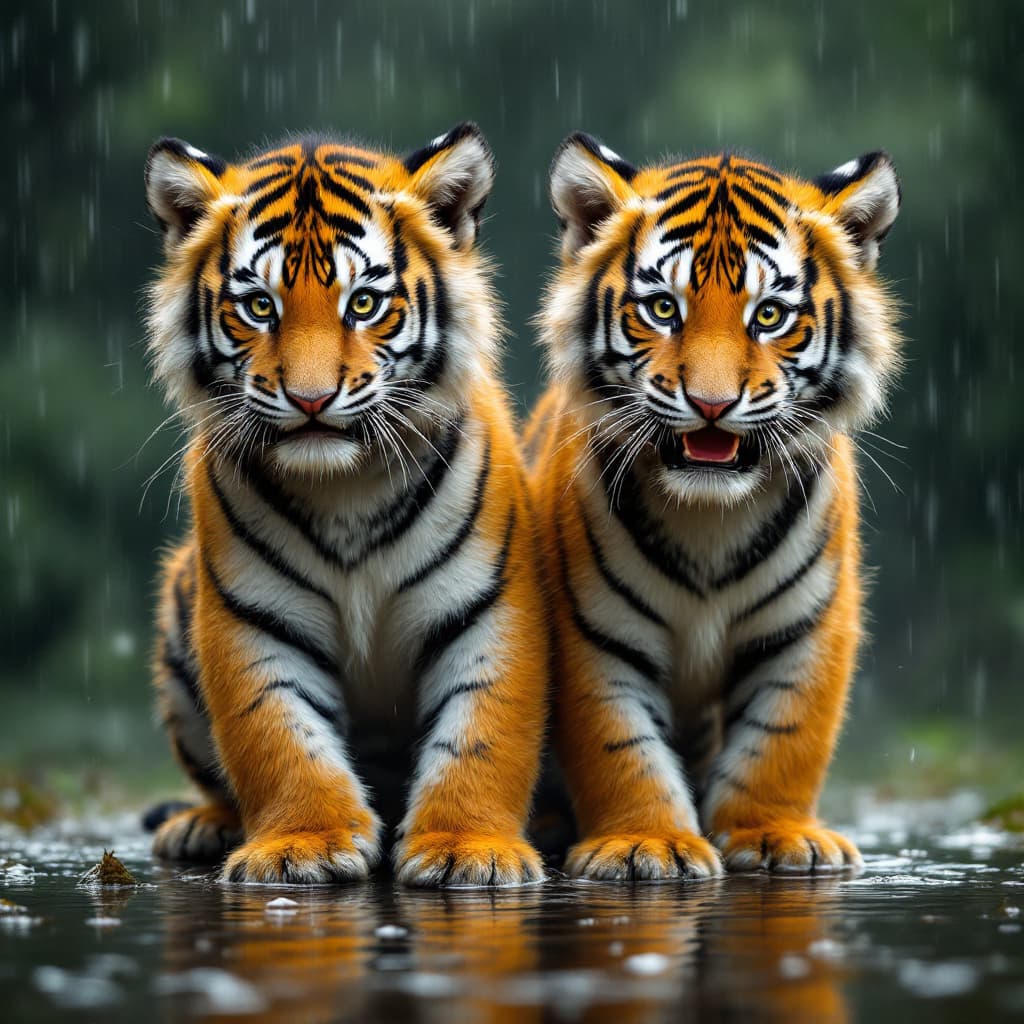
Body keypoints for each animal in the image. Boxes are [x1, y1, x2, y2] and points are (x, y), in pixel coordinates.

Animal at [143, 123, 548, 886]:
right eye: (260, 306)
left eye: (363, 303)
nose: (310, 399)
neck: (345, 487)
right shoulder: (252, 616)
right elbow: (278, 737)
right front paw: (305, 843)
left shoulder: (490, 608)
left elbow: (481, 734)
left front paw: (466, 850)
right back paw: (201, 828)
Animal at [526, 133, 901, 879]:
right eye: (664, 309)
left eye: (769, 316)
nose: (711, 403)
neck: (708, 516)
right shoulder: (592, 629)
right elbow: (618, 743)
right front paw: (645, 844)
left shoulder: (810, 624)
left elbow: (785, 736)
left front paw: (777, 835)